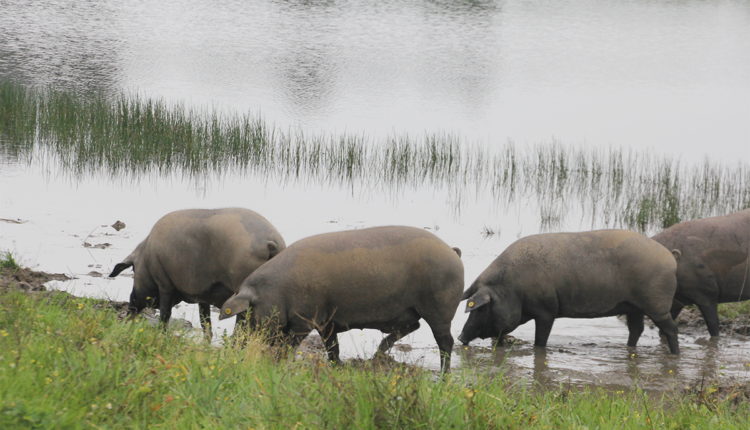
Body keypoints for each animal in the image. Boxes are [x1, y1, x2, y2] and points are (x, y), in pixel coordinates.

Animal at [108, 208, 286, 338]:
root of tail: (270, 242)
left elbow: (165, 313)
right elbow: (205, 322)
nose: (128, 309)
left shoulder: (164, 282)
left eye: (133, 270)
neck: (147, 257)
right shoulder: (203, 295)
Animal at [219, 226, 464, 372]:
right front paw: (339, 367)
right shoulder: (326, 321)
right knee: (414, 326)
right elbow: (332, 347)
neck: (278, 292)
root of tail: (452, 252)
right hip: (409, 310)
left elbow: (288, 346)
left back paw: (444, 375)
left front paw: (277, 364)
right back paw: (378, 353)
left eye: (246, 314)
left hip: (440, 309)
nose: (231, 346)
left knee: (445, 341)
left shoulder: (305, 319)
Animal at [459, 230, 680, 354]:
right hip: (634, 307)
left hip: (656, 303)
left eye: (480, 309)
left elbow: (541, 340)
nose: (461, 337)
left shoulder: (546, 311)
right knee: (636, 329)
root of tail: (670, 256)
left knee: (670, 328)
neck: (513, 288)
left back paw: (675, 354)